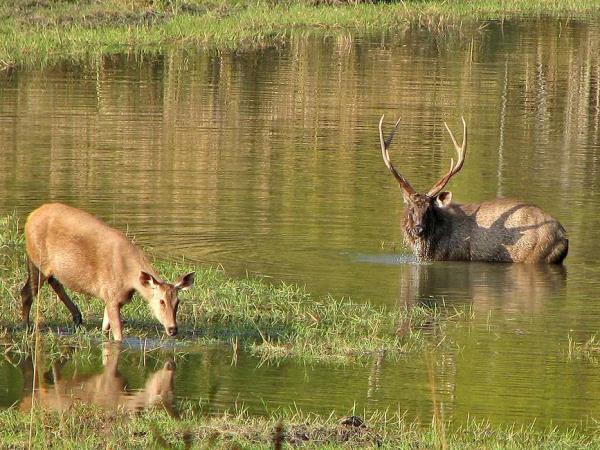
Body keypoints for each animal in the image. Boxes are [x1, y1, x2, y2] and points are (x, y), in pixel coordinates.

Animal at [20, 202, 195, 340]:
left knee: (53, 282)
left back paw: (77, 317)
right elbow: (119, 336)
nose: (173, 329)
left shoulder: (112, 298)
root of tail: (30, 218)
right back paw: (27, 327)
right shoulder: (111, 295)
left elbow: (105, 329)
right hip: (38, 260)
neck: (129, 278)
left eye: (178, 302)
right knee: (27, 291)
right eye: (161, 301)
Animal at [380, 114, 568, 266]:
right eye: (411, 208)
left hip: (534, 255)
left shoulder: (452, 255)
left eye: (429, 209)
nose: (418, 229)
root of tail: (563, 237)